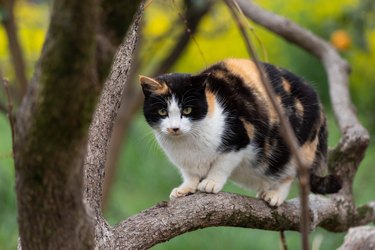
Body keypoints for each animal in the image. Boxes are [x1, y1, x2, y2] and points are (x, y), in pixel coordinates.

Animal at [140, 59, 342, 207]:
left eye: (187, 110)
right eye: (162, 112)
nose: (174, 128)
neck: (187, 143)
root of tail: (319, 102)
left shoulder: (239, 140)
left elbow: (221, 165)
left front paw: (211, 182)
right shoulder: (186, 162)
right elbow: (190, 174)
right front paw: (186, 187)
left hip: (296, 148)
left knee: (290, 174)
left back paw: (274, 195)